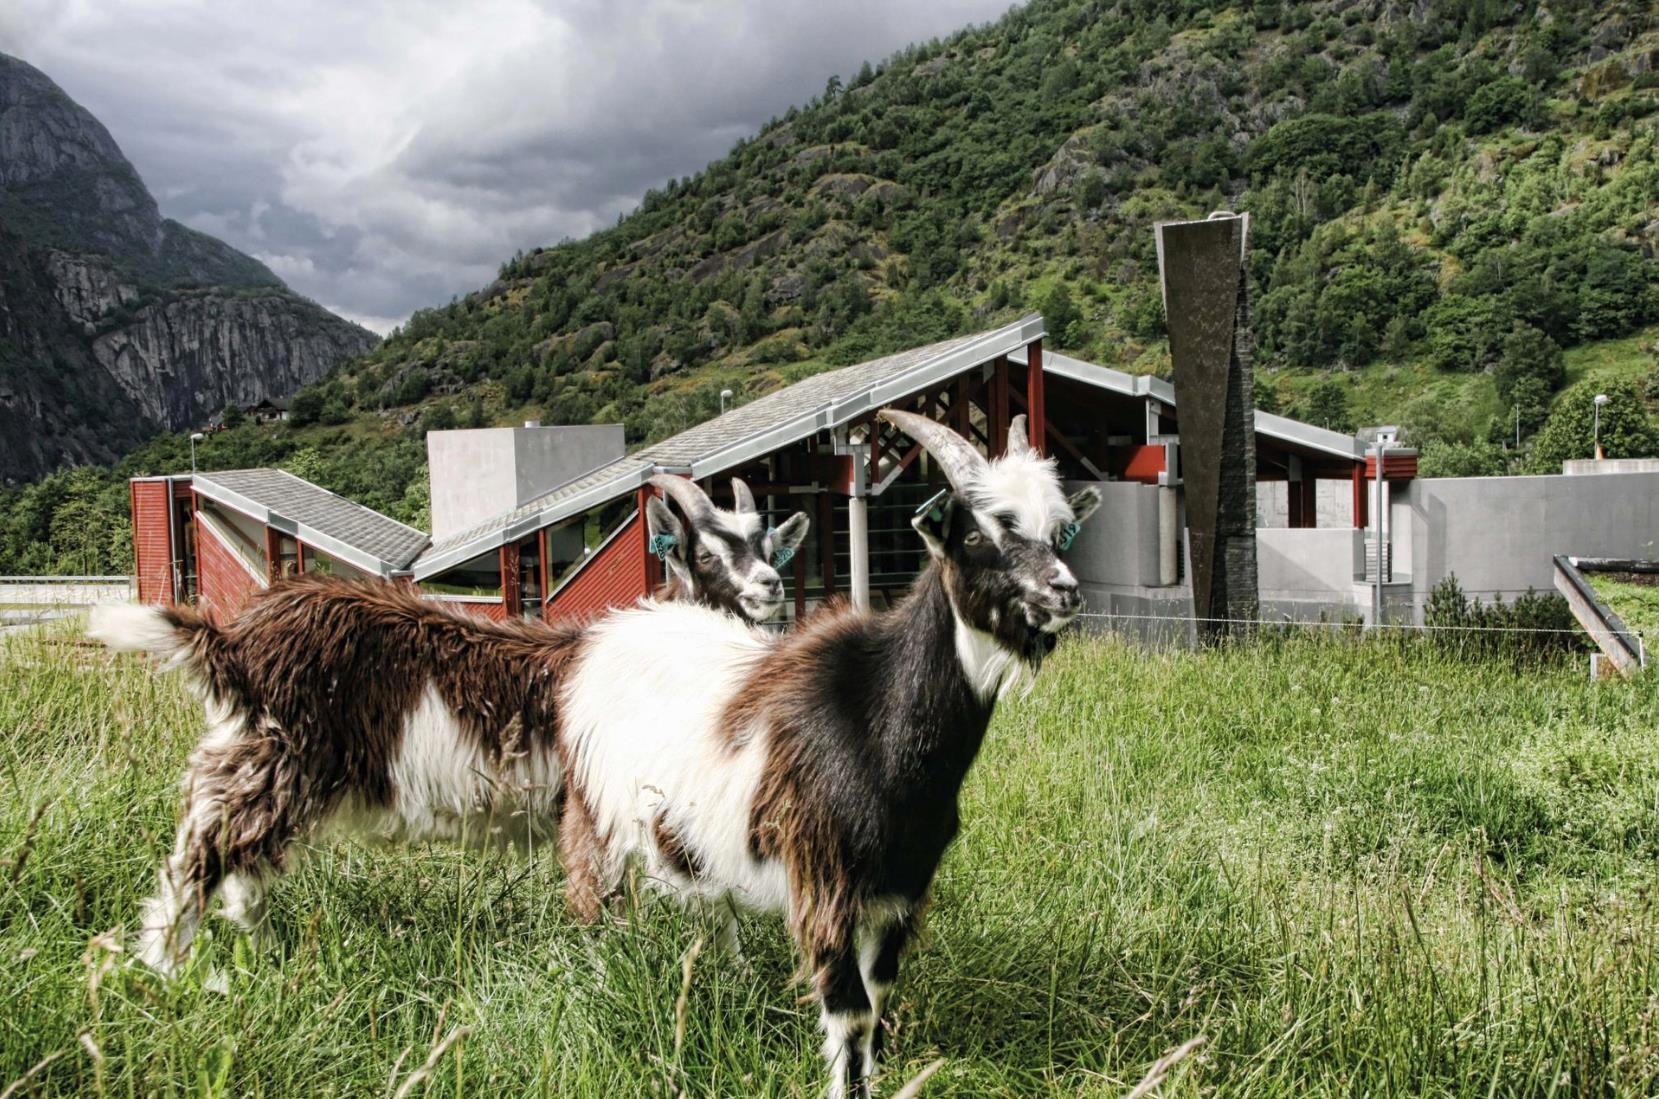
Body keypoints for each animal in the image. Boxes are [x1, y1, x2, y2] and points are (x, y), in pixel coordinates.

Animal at [90, 476, 808, 976]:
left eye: (770, 547)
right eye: (706, 555)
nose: (770, 587)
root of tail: (235, 640)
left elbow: (708, 900)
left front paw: (730, 969)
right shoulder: (590, 802)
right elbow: (597, 897)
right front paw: (607, 969)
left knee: (243, 861)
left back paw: (261, 950)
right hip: (269, 758)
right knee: (200, 855)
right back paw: (165, 969)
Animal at [556, 411, 1101, 1099]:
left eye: (1058, 530)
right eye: (977, 534)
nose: (1064, 592)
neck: (879, 729)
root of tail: (614, 631)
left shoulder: (902, 888)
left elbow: (880, 994)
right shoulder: (824, 879)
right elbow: (851, 1011)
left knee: (710, 909)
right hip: (594, 815)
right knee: (594, 906)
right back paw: (603, 984)